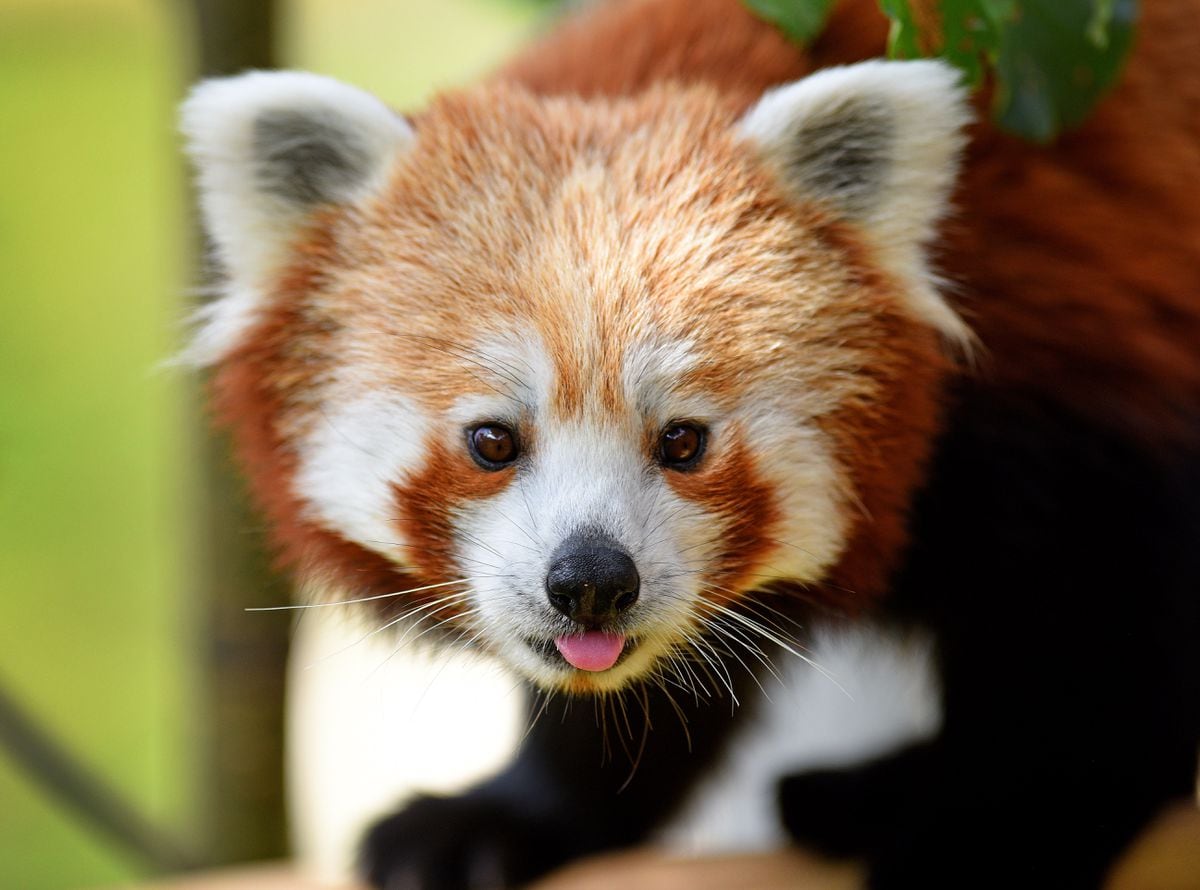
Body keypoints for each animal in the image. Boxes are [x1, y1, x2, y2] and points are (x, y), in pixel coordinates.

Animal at [180, 1, 1200, 890]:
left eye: (682, 440)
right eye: (491, 441)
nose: (592, 580)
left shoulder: (1073, 354)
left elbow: (1093, 644)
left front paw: (992, 841)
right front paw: (512, 814)